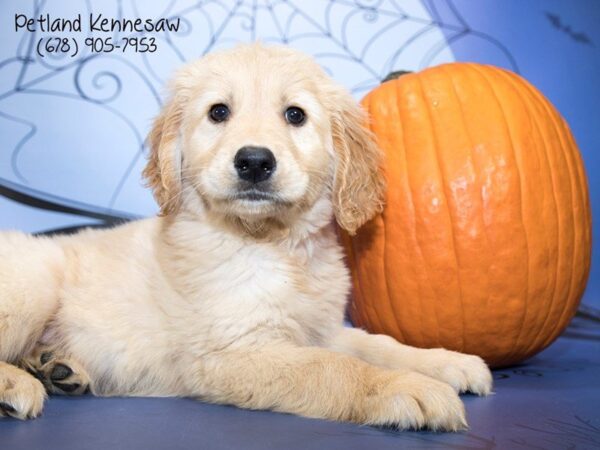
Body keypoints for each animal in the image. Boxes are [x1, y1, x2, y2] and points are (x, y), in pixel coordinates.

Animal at [0, 44, 492, 428]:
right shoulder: (231, 352)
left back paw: (55, 368)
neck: (274, 245)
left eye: (295, 115)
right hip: (34, 281)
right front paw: (406, 388)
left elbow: (376, 344)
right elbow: (332, 368)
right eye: (218, 112)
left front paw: (445, 362)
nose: (254, 161)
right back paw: (17, 383)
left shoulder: (320, 328)